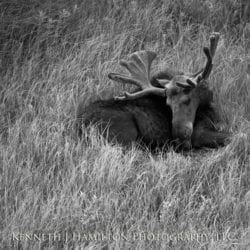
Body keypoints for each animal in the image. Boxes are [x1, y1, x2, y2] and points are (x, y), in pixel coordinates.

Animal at [75, 33, 230, 150]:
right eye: (168, 104)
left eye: (187, 100)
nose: (179, 136)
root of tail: (83, 127)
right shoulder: (199, 133)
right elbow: (231, 137)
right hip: (124, 136)